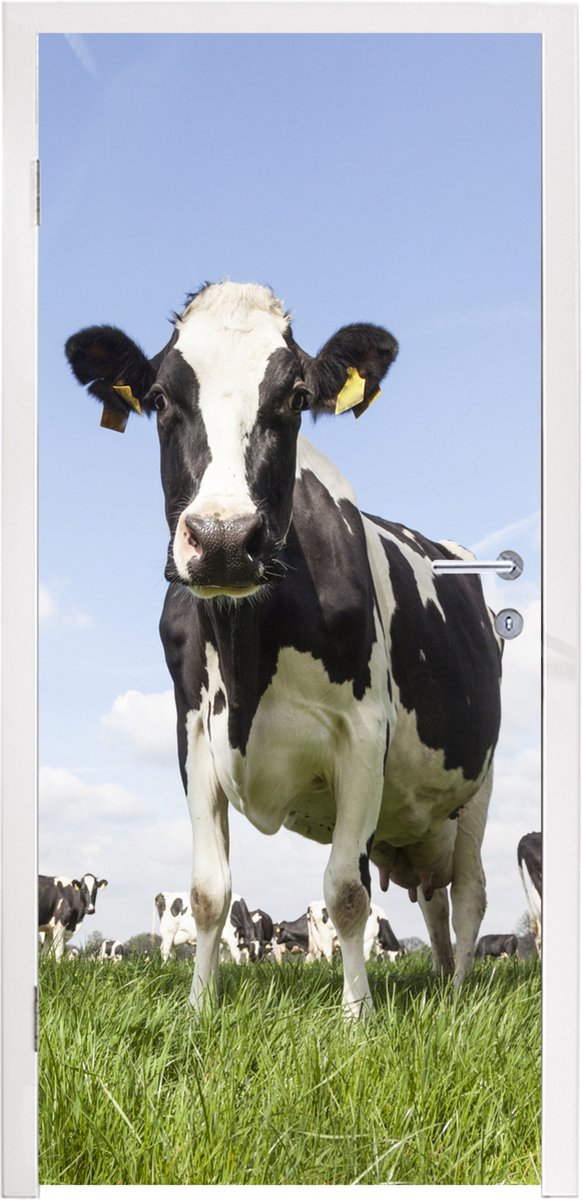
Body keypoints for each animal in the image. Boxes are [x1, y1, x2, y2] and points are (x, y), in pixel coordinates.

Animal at [66, 280, 503, 1018]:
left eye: (296, 398)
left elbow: (347, 892)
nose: (222, 539)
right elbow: (209, 891)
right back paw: (444, 979)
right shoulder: (193, 732)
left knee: (469, 893)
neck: (249, 657)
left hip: (479, 784)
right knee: (435, 903)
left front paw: (358, 1016)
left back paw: (462, 994)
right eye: (159, 397)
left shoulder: (364, 731)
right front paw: (198, 1009)